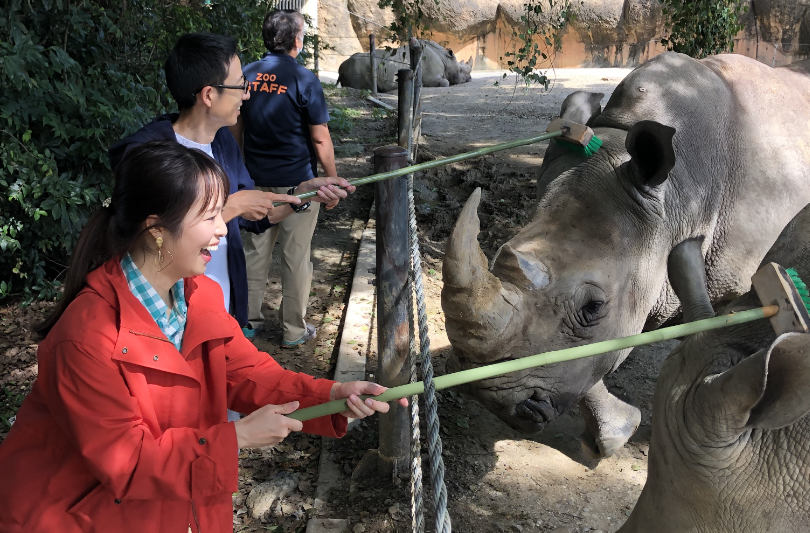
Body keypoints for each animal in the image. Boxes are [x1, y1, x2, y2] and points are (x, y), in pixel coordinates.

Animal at [336, 40, 474, 92]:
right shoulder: (432, 77)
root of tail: (340, 69)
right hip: (357, 69)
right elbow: (446, 82)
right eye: (462, 70)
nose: (470, 78)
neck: (446, 60)